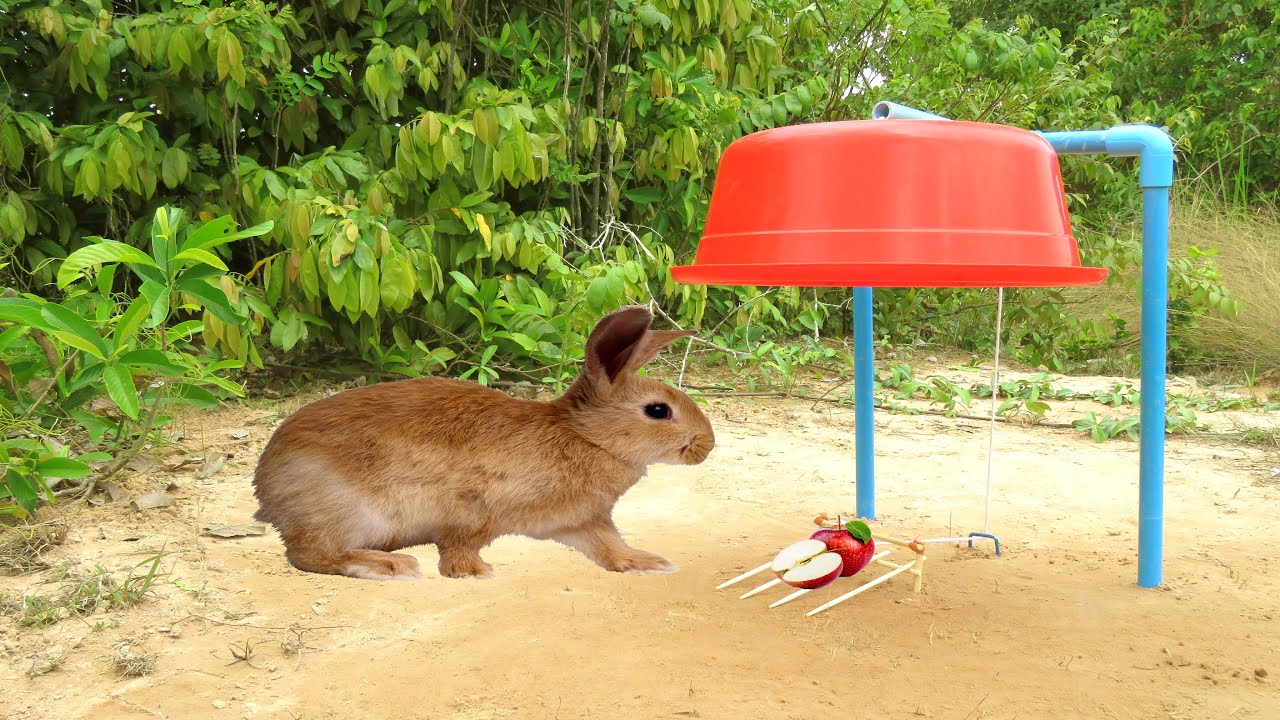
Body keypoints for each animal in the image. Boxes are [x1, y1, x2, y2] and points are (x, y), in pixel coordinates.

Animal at [251, 305, 716, 581]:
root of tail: (266, 488)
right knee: (308, 554)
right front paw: (474, 573)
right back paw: (392, 564)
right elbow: (459, 544)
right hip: (346, 511)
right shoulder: (475, 508)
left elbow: (610, 548)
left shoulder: (581, 521)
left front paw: (649, 563)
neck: (584, 437)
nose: (706, 445)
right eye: (658, 411)